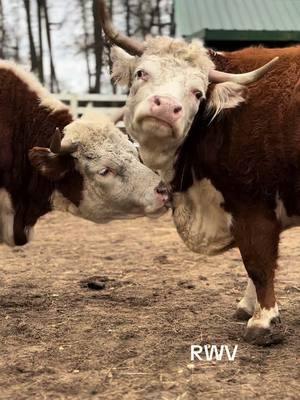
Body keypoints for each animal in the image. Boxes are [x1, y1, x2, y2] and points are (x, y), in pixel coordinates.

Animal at [99, 0, 300, 346]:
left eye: (197, 92)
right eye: (141, 73)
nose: (166, 107)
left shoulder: (251, 205)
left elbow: (258, 263)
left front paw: (263, 321)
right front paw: (248, 307)